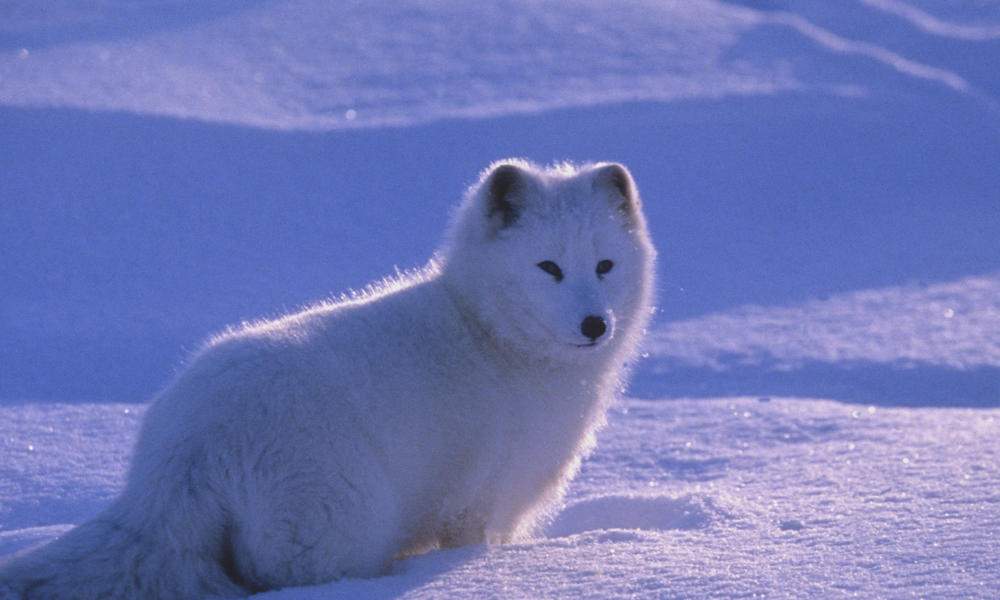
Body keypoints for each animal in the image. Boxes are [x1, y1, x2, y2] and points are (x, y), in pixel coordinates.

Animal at [0, 161, 656, 600]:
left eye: (605, 265)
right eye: (548, 268)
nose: (595, 324)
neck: (488, 333)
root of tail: (181, 455)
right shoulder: (479, 504)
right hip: (342, 525)